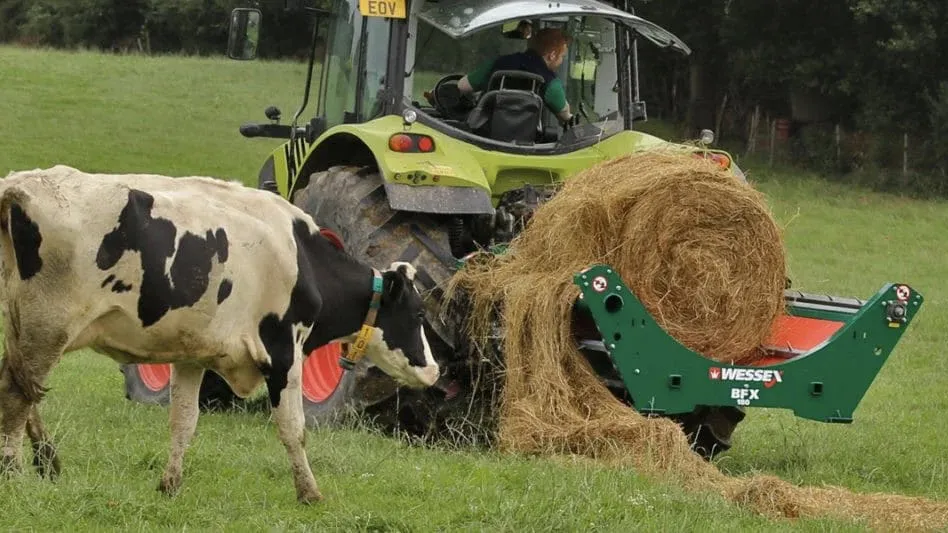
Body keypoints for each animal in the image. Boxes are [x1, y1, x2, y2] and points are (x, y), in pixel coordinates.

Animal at [0, 165, 440, 503]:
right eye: (419, 313)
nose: (434, 371)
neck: (303, 258)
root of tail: (19, 185)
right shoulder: (283, 352)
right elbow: (293, 427)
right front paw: (310, 493)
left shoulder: (192, 356)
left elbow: (183, 422)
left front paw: (170, 485)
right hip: (49, 325)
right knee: (17, 395)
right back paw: (14, 470)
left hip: (23, 328)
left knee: (25, 391)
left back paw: (46, 462)